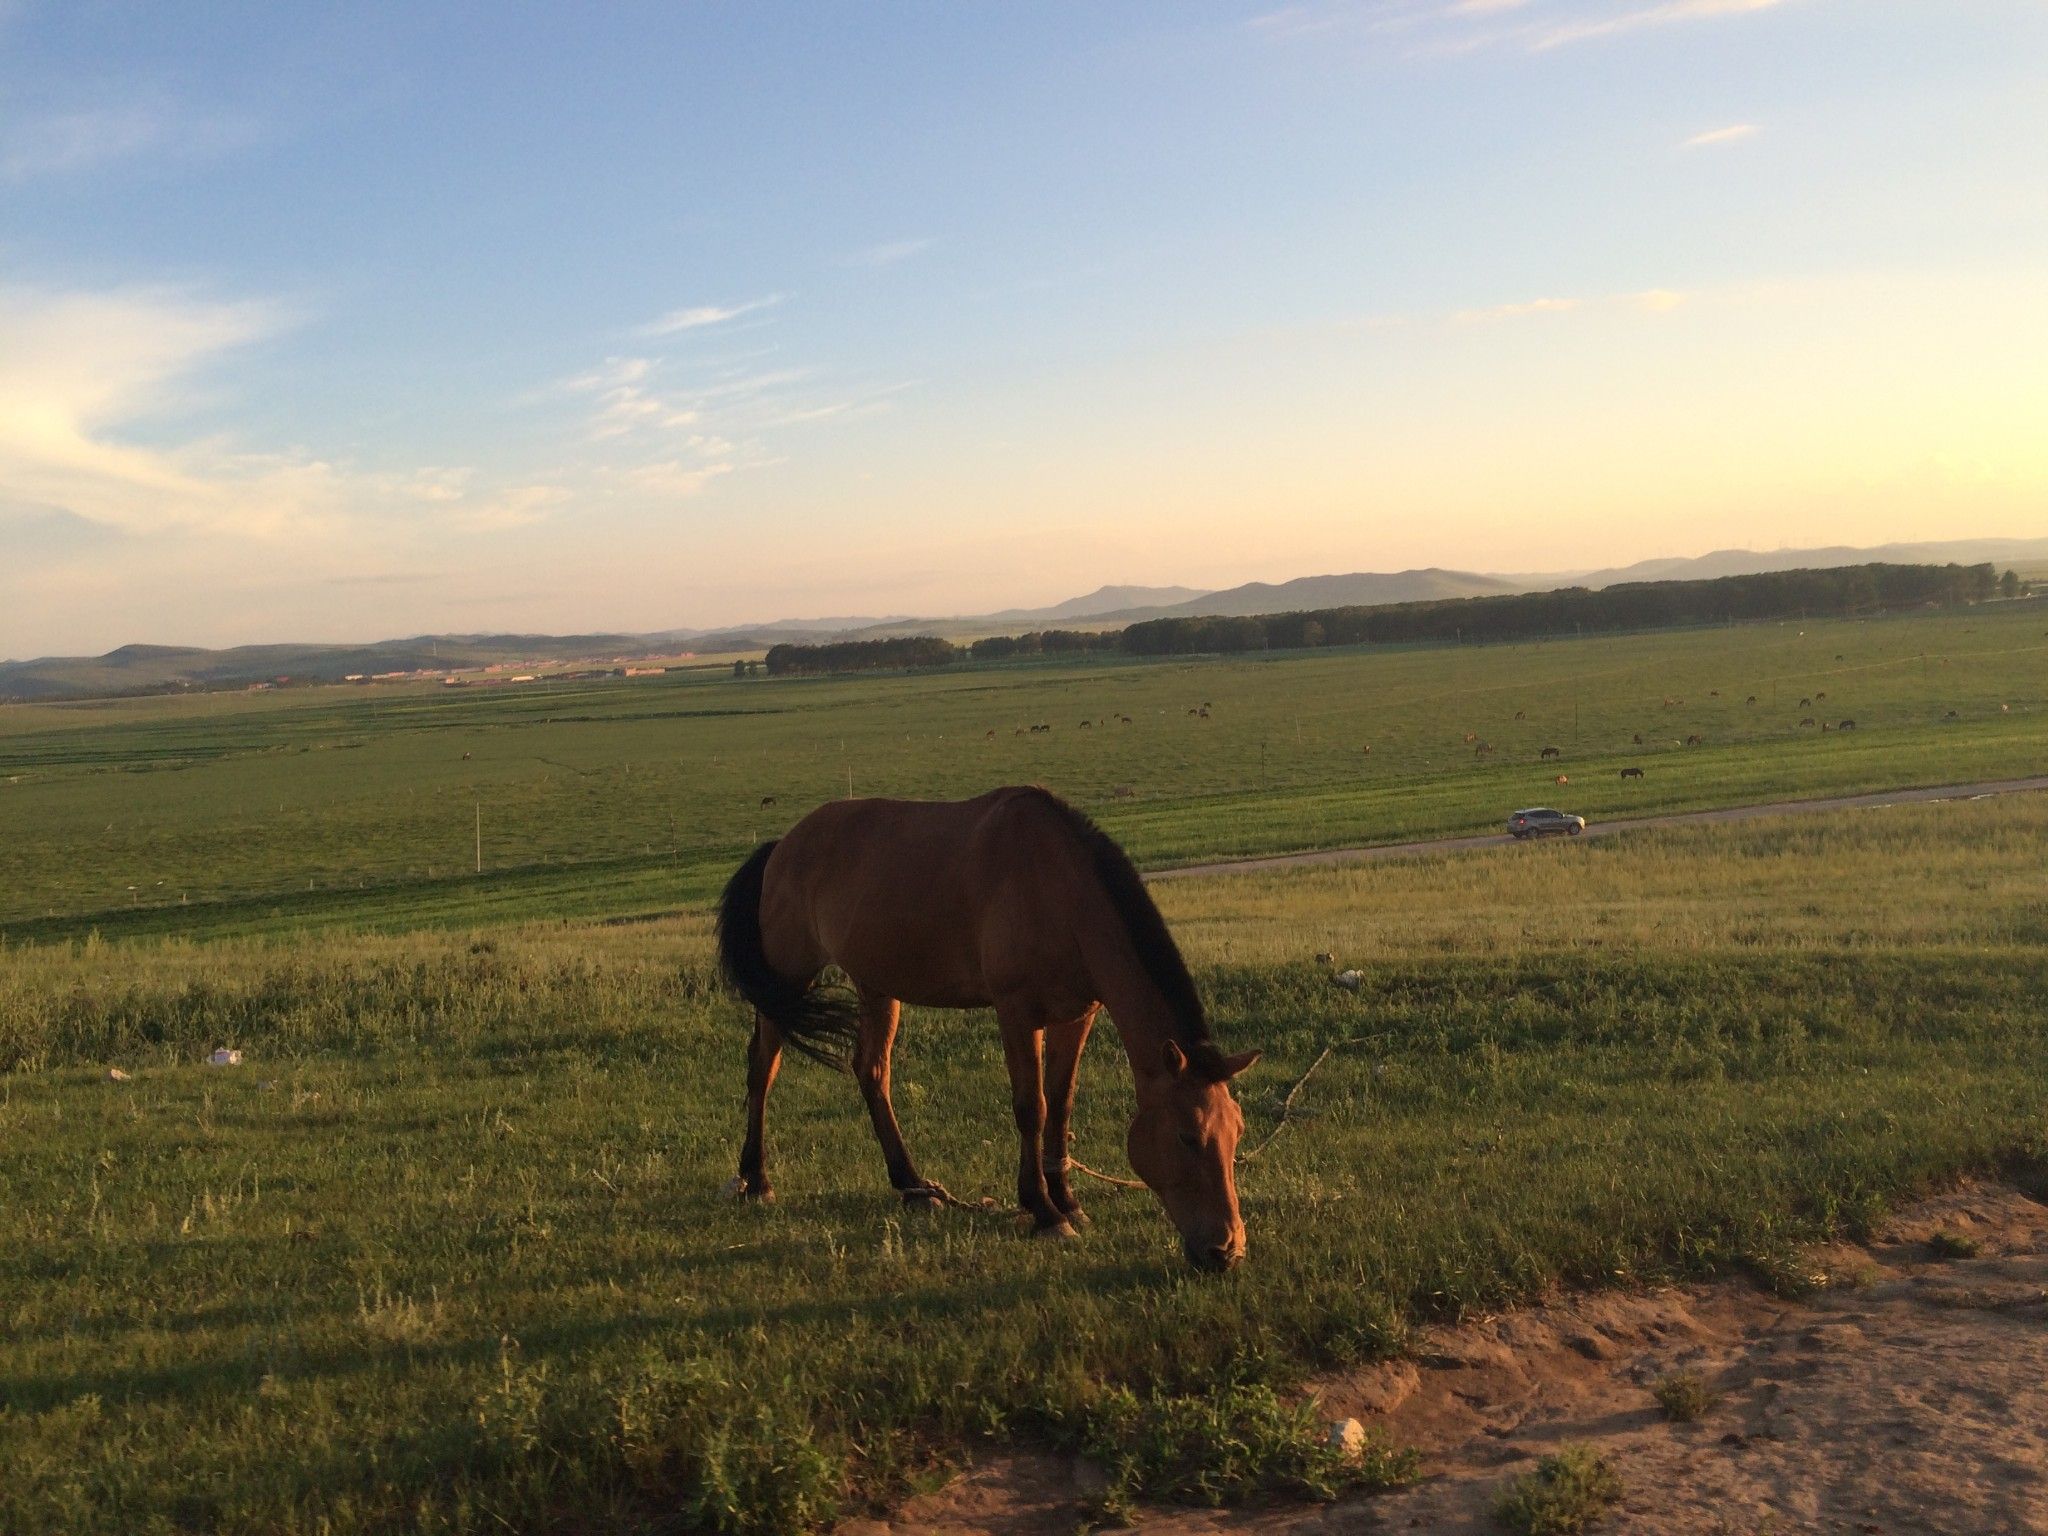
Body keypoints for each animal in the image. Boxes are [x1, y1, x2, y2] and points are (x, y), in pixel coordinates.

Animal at [720, 786, 1261, 1269]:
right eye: (1188, 1137)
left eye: (1237, 1132)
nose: (1226, 1251)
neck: (1058, 889)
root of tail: (782, 846)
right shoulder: (1016, 1012)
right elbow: (1031, 1108)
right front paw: (1044, 1212)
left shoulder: (1076, 1015)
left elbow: (1061, 1104)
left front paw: (1067, 1200)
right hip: (789, 978)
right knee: (763, 1066)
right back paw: (756, 1178)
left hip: (877, 986)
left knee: (871, 1072)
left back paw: (914, 1187)